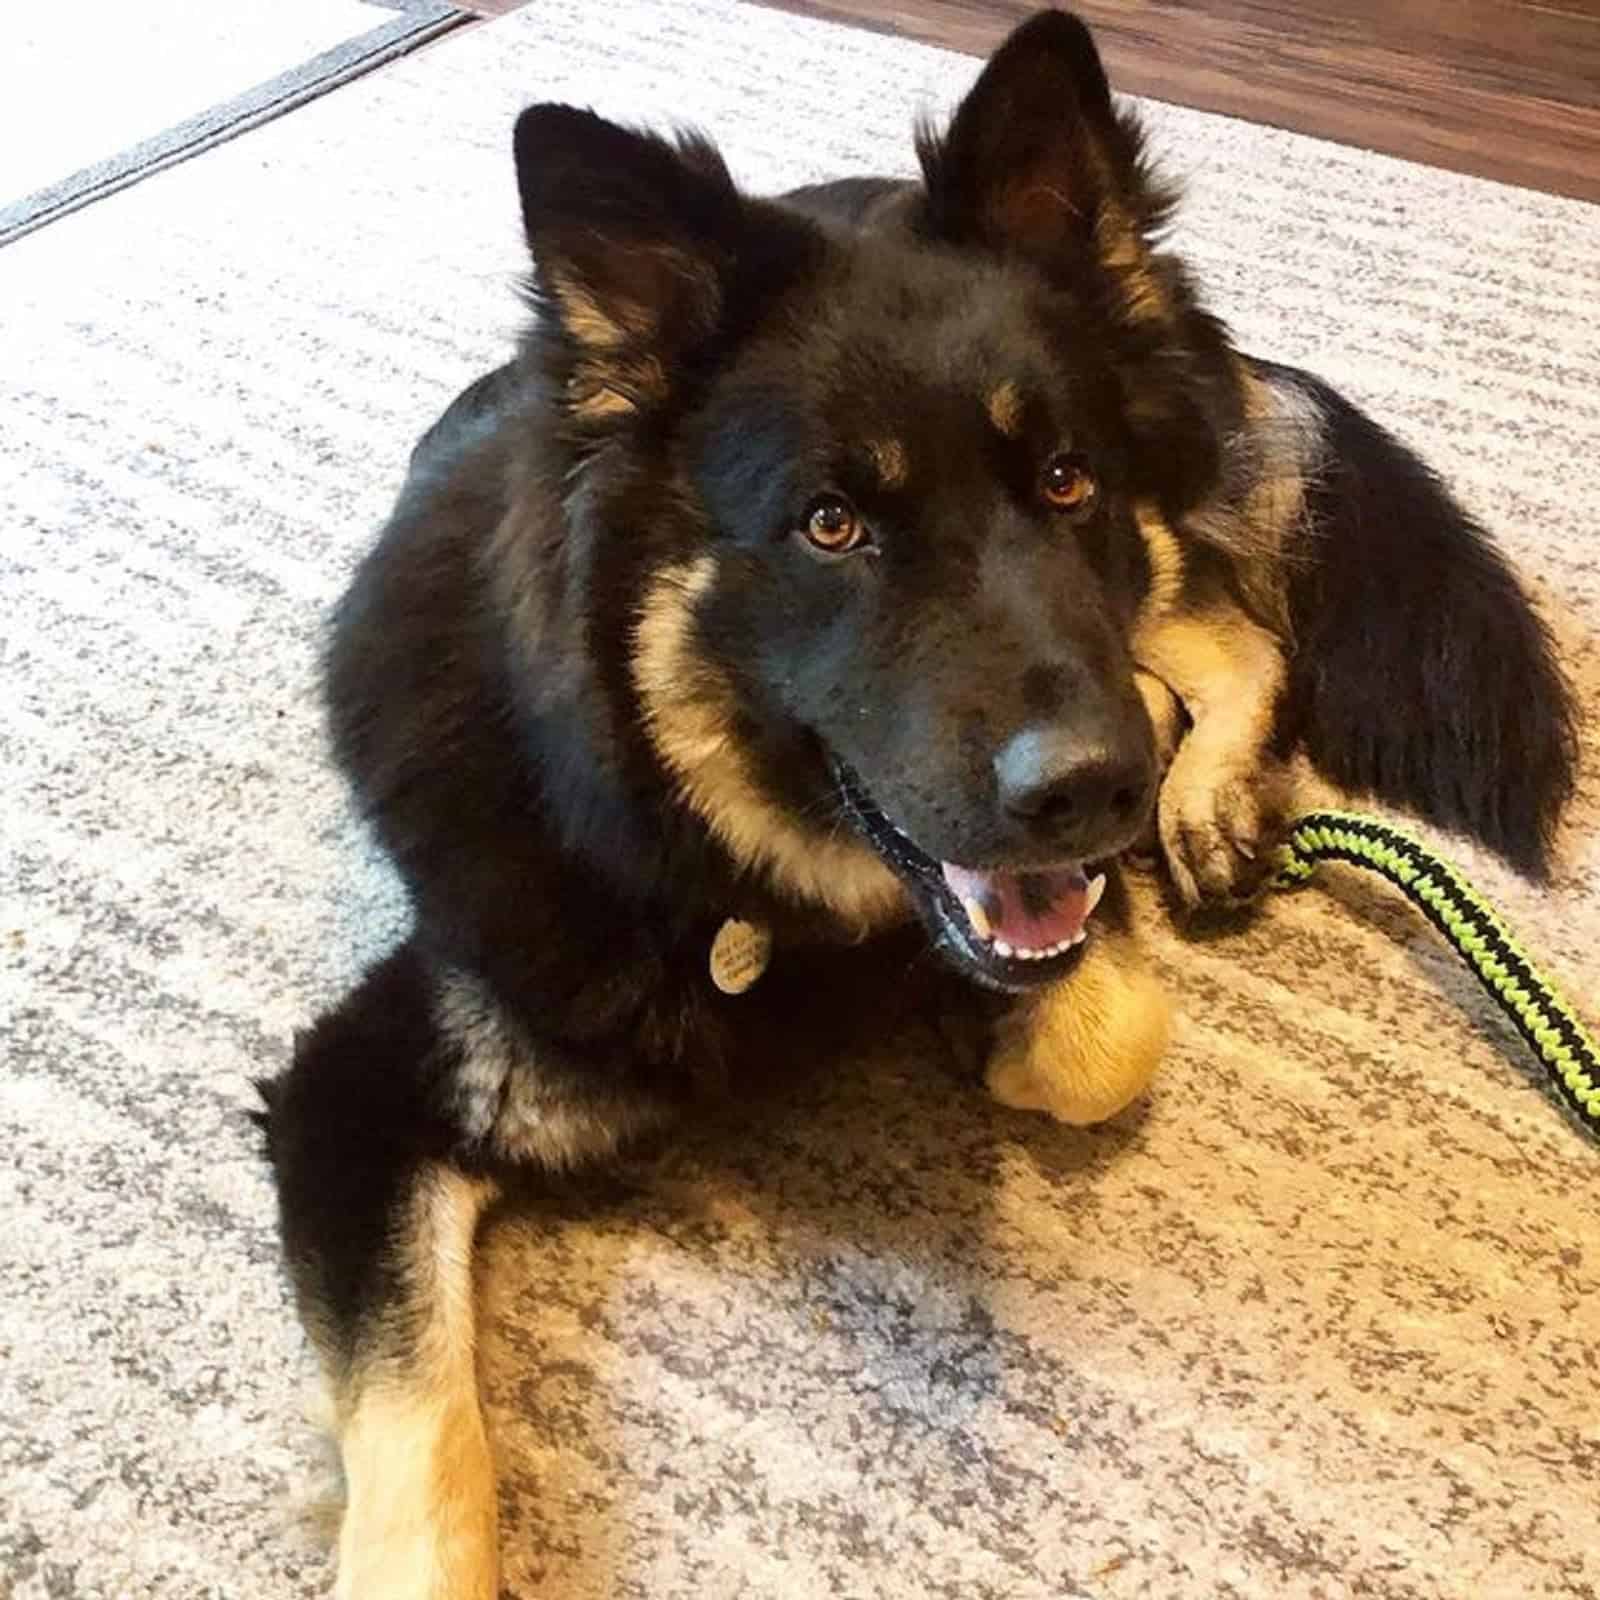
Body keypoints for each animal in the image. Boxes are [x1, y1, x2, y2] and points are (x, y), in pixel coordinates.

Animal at [252, 9, 1574, 1587]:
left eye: (1063, 481)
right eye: (832, 524)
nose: (1094, 793)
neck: (727, 876)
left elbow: (1105, 1040)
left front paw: (998, 1031)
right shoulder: (363, 1093)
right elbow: (424, 1449)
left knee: (1227, 619)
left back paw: (1204, 789)